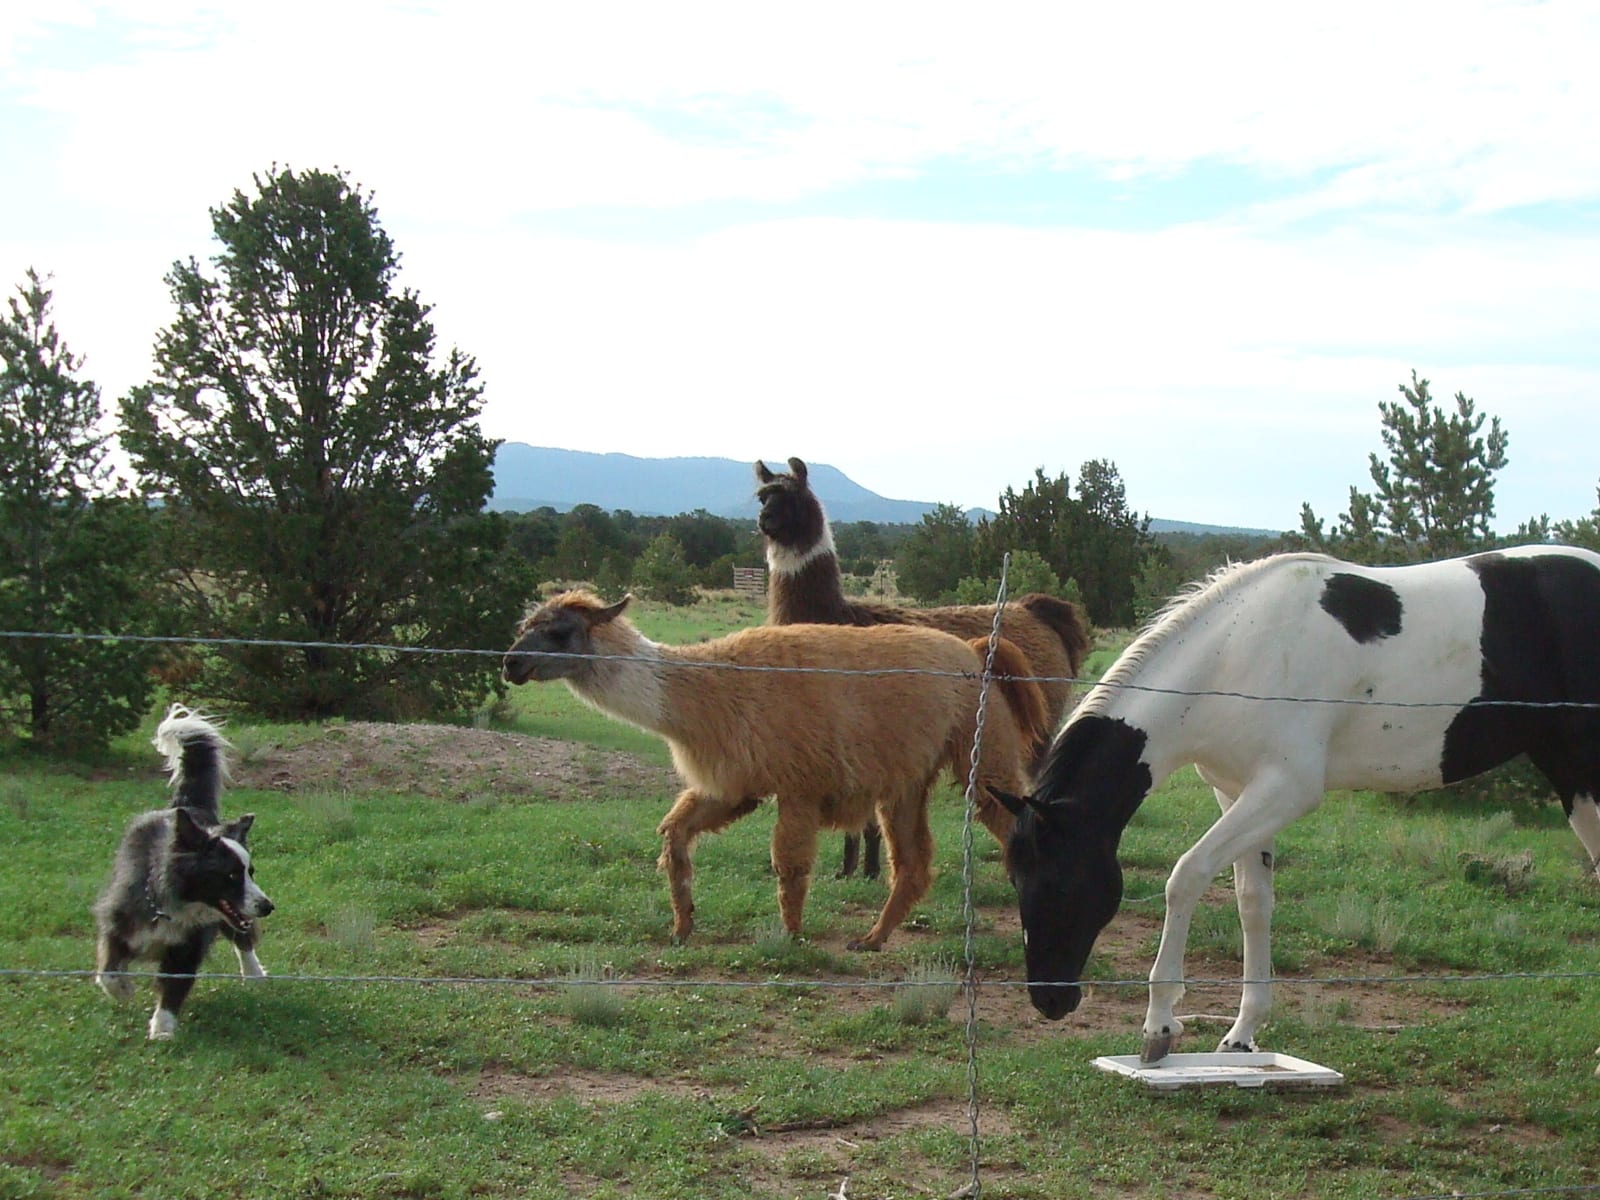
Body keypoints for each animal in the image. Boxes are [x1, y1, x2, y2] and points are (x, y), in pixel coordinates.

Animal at [997, 546, 1600, 1064]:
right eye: (1015, 880)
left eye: (1062, 884)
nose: (1049, 999)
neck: (1235, 658)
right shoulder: (1237, 792)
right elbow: (1252, 902)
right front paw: (1241, 1035)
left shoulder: (1286, 790)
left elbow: (1186, 876)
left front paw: (1160, 1025)